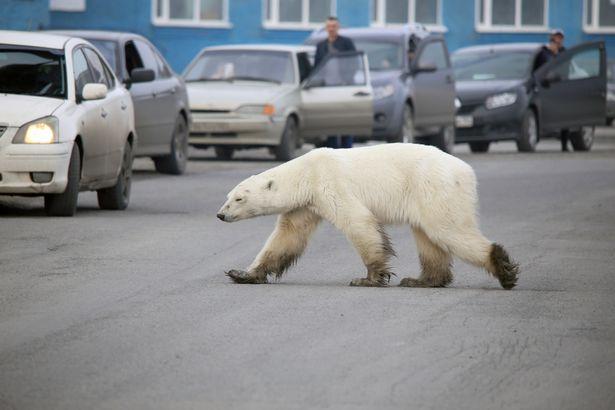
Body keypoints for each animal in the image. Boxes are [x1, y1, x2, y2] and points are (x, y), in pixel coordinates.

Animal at [217, 144, 520, 288]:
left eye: (239, 198)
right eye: (228, 196)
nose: (220, 214)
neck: (306, 173)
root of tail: (466, 170)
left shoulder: (331, 184)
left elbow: (358, 222)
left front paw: (369, 278)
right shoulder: (306, 205)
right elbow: (287, 236)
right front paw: (242, 273)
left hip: (434, 187)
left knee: (448, 229)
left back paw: (503, 268)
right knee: (428, 237)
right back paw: (421, 280)